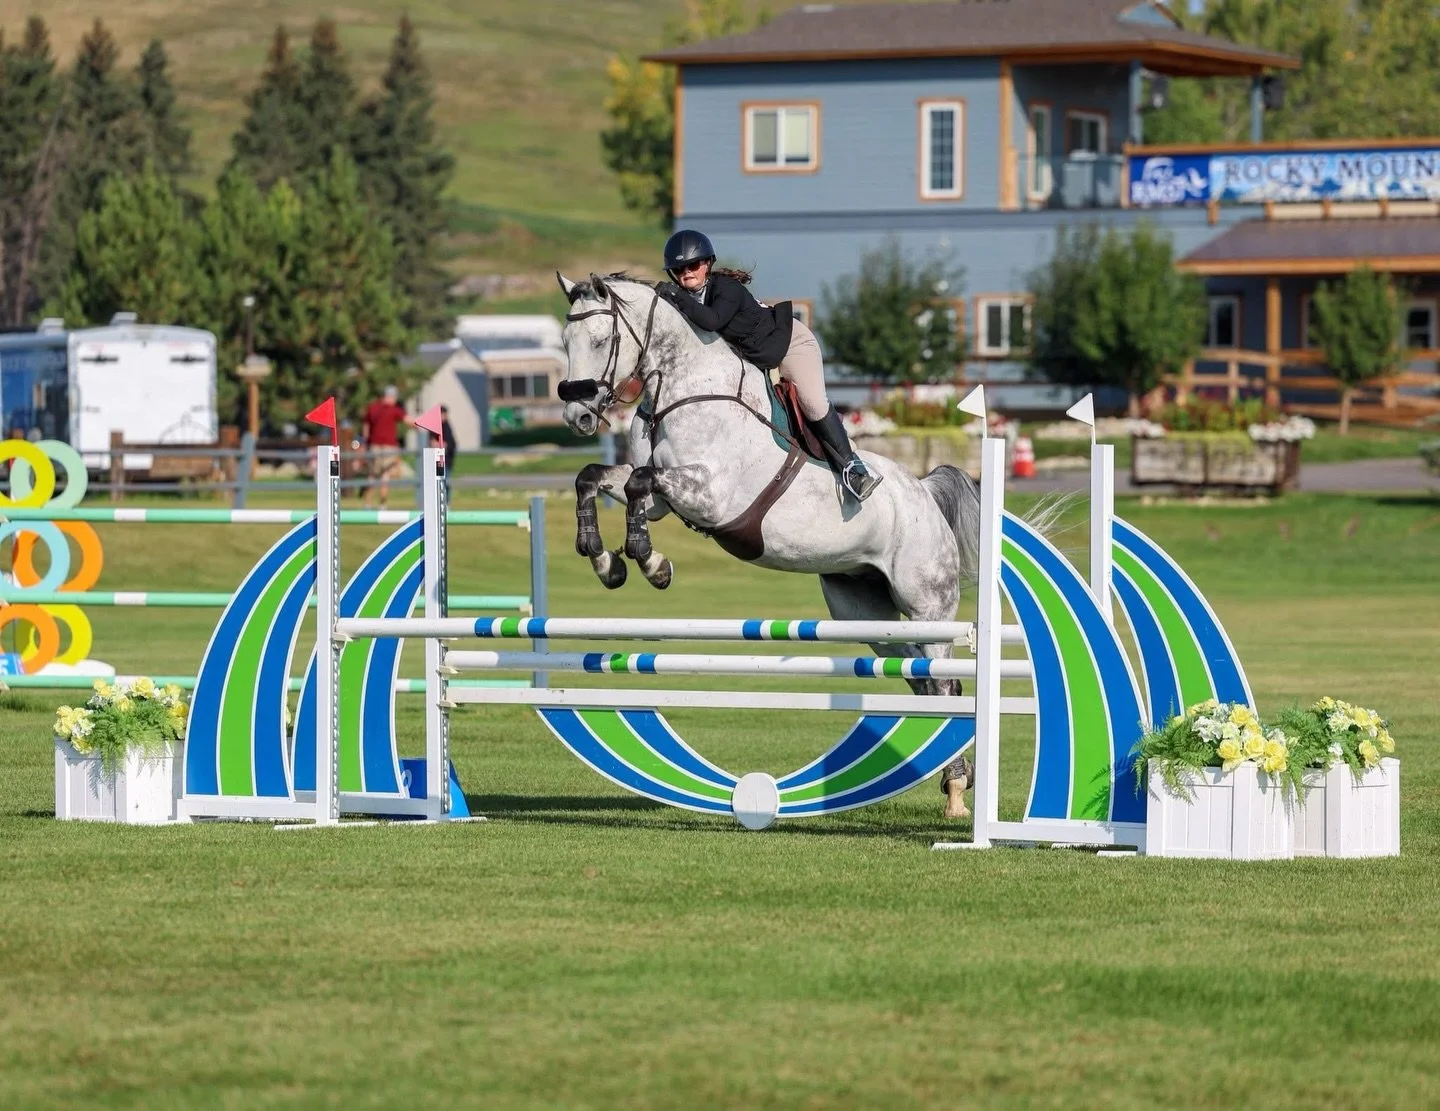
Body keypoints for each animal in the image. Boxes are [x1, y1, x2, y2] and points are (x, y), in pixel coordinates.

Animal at [555, 271, 986, 817]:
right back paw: (953, 779)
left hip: (927, 604)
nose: (578, 417)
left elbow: (637, 484)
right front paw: (605, 560)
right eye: (564, 340)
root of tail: (925, 493)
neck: (684, 391)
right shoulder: (663, 501)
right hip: (863, 611)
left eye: (599, 340)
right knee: (920, 676)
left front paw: (651, 564)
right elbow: (596, 478)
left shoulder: (710, 495)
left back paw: (956, 792)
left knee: (944, 680)